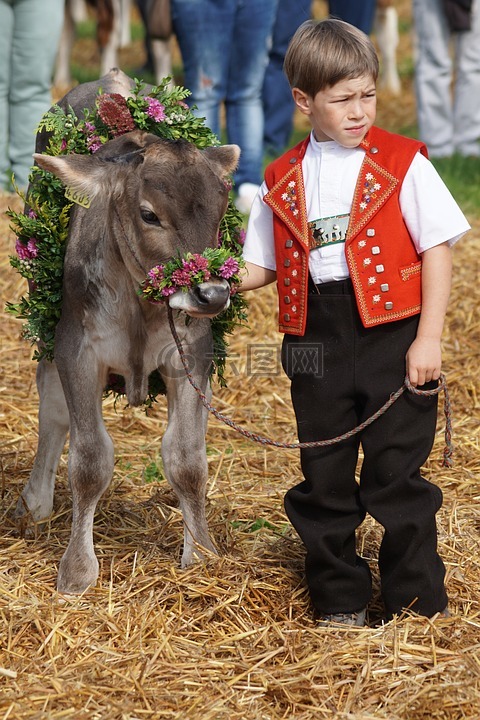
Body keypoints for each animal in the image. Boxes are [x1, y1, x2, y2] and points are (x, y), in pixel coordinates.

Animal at [14, 69, 240, 596]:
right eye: (148, 213)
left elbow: (187, 460)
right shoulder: (76, 350)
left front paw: (201, 554)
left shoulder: (191, 353)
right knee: (52, 410)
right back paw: (35, 500)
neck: (141, 305)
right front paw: (77, 571)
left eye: (222, 206)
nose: (211, 293)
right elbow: (89, 460)